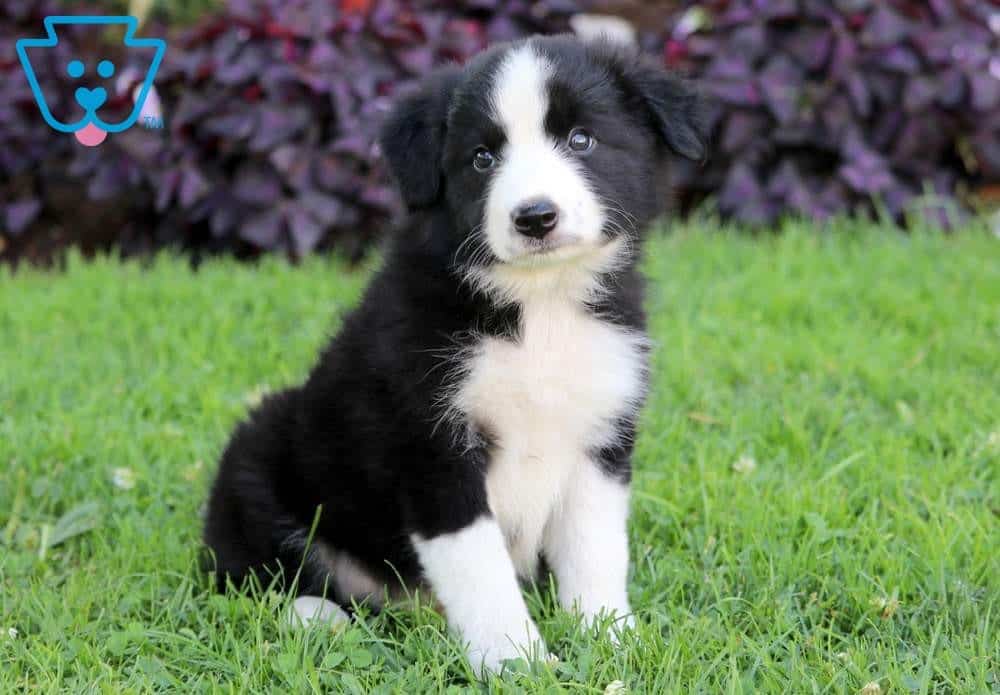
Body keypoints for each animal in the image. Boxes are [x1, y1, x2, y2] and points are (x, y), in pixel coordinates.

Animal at [203, 34, 704, 676]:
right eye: (482, 159)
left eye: (581, 140)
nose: (535, 217)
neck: (538, 308)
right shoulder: (430, 442)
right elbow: (479, 567)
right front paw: (518, 662)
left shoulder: (602, 434)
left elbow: (595, 551)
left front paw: (612, 639)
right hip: (259, 452)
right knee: (250, 573)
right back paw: (318, 617)